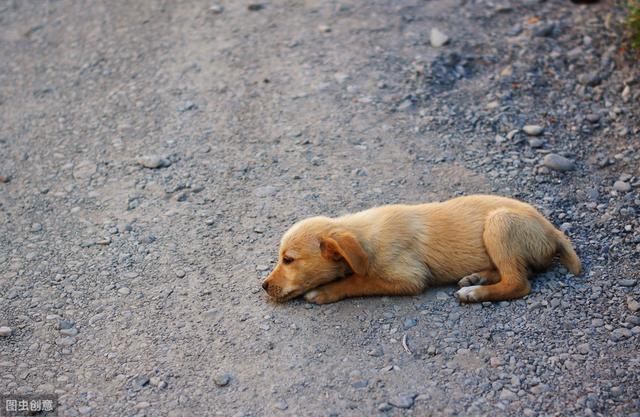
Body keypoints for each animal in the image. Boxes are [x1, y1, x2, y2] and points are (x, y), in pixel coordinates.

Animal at [262, 193, 584, 304]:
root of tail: (552, 230)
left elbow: (359, 281)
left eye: (288, 260)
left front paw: (326, 291)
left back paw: (475, 292)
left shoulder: (408, 278)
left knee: (519, 282)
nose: (263, 286)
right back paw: (477, 277)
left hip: (499, 223)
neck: (364, 237)